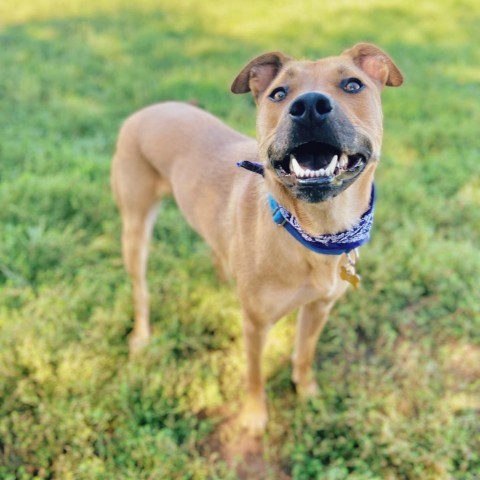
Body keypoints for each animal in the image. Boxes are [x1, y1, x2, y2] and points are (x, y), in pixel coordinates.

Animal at [110, 44, 404, 436]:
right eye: (278, 94)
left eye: (352, 85)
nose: (309, 106)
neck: (315, 233)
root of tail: (148, 109)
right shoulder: (255, 325)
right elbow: (254, 374)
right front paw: (253, 416)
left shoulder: (319, 308)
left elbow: (305, 354)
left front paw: (307, 392)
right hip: (135, 227)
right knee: (140, 289)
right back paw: (142, 336)